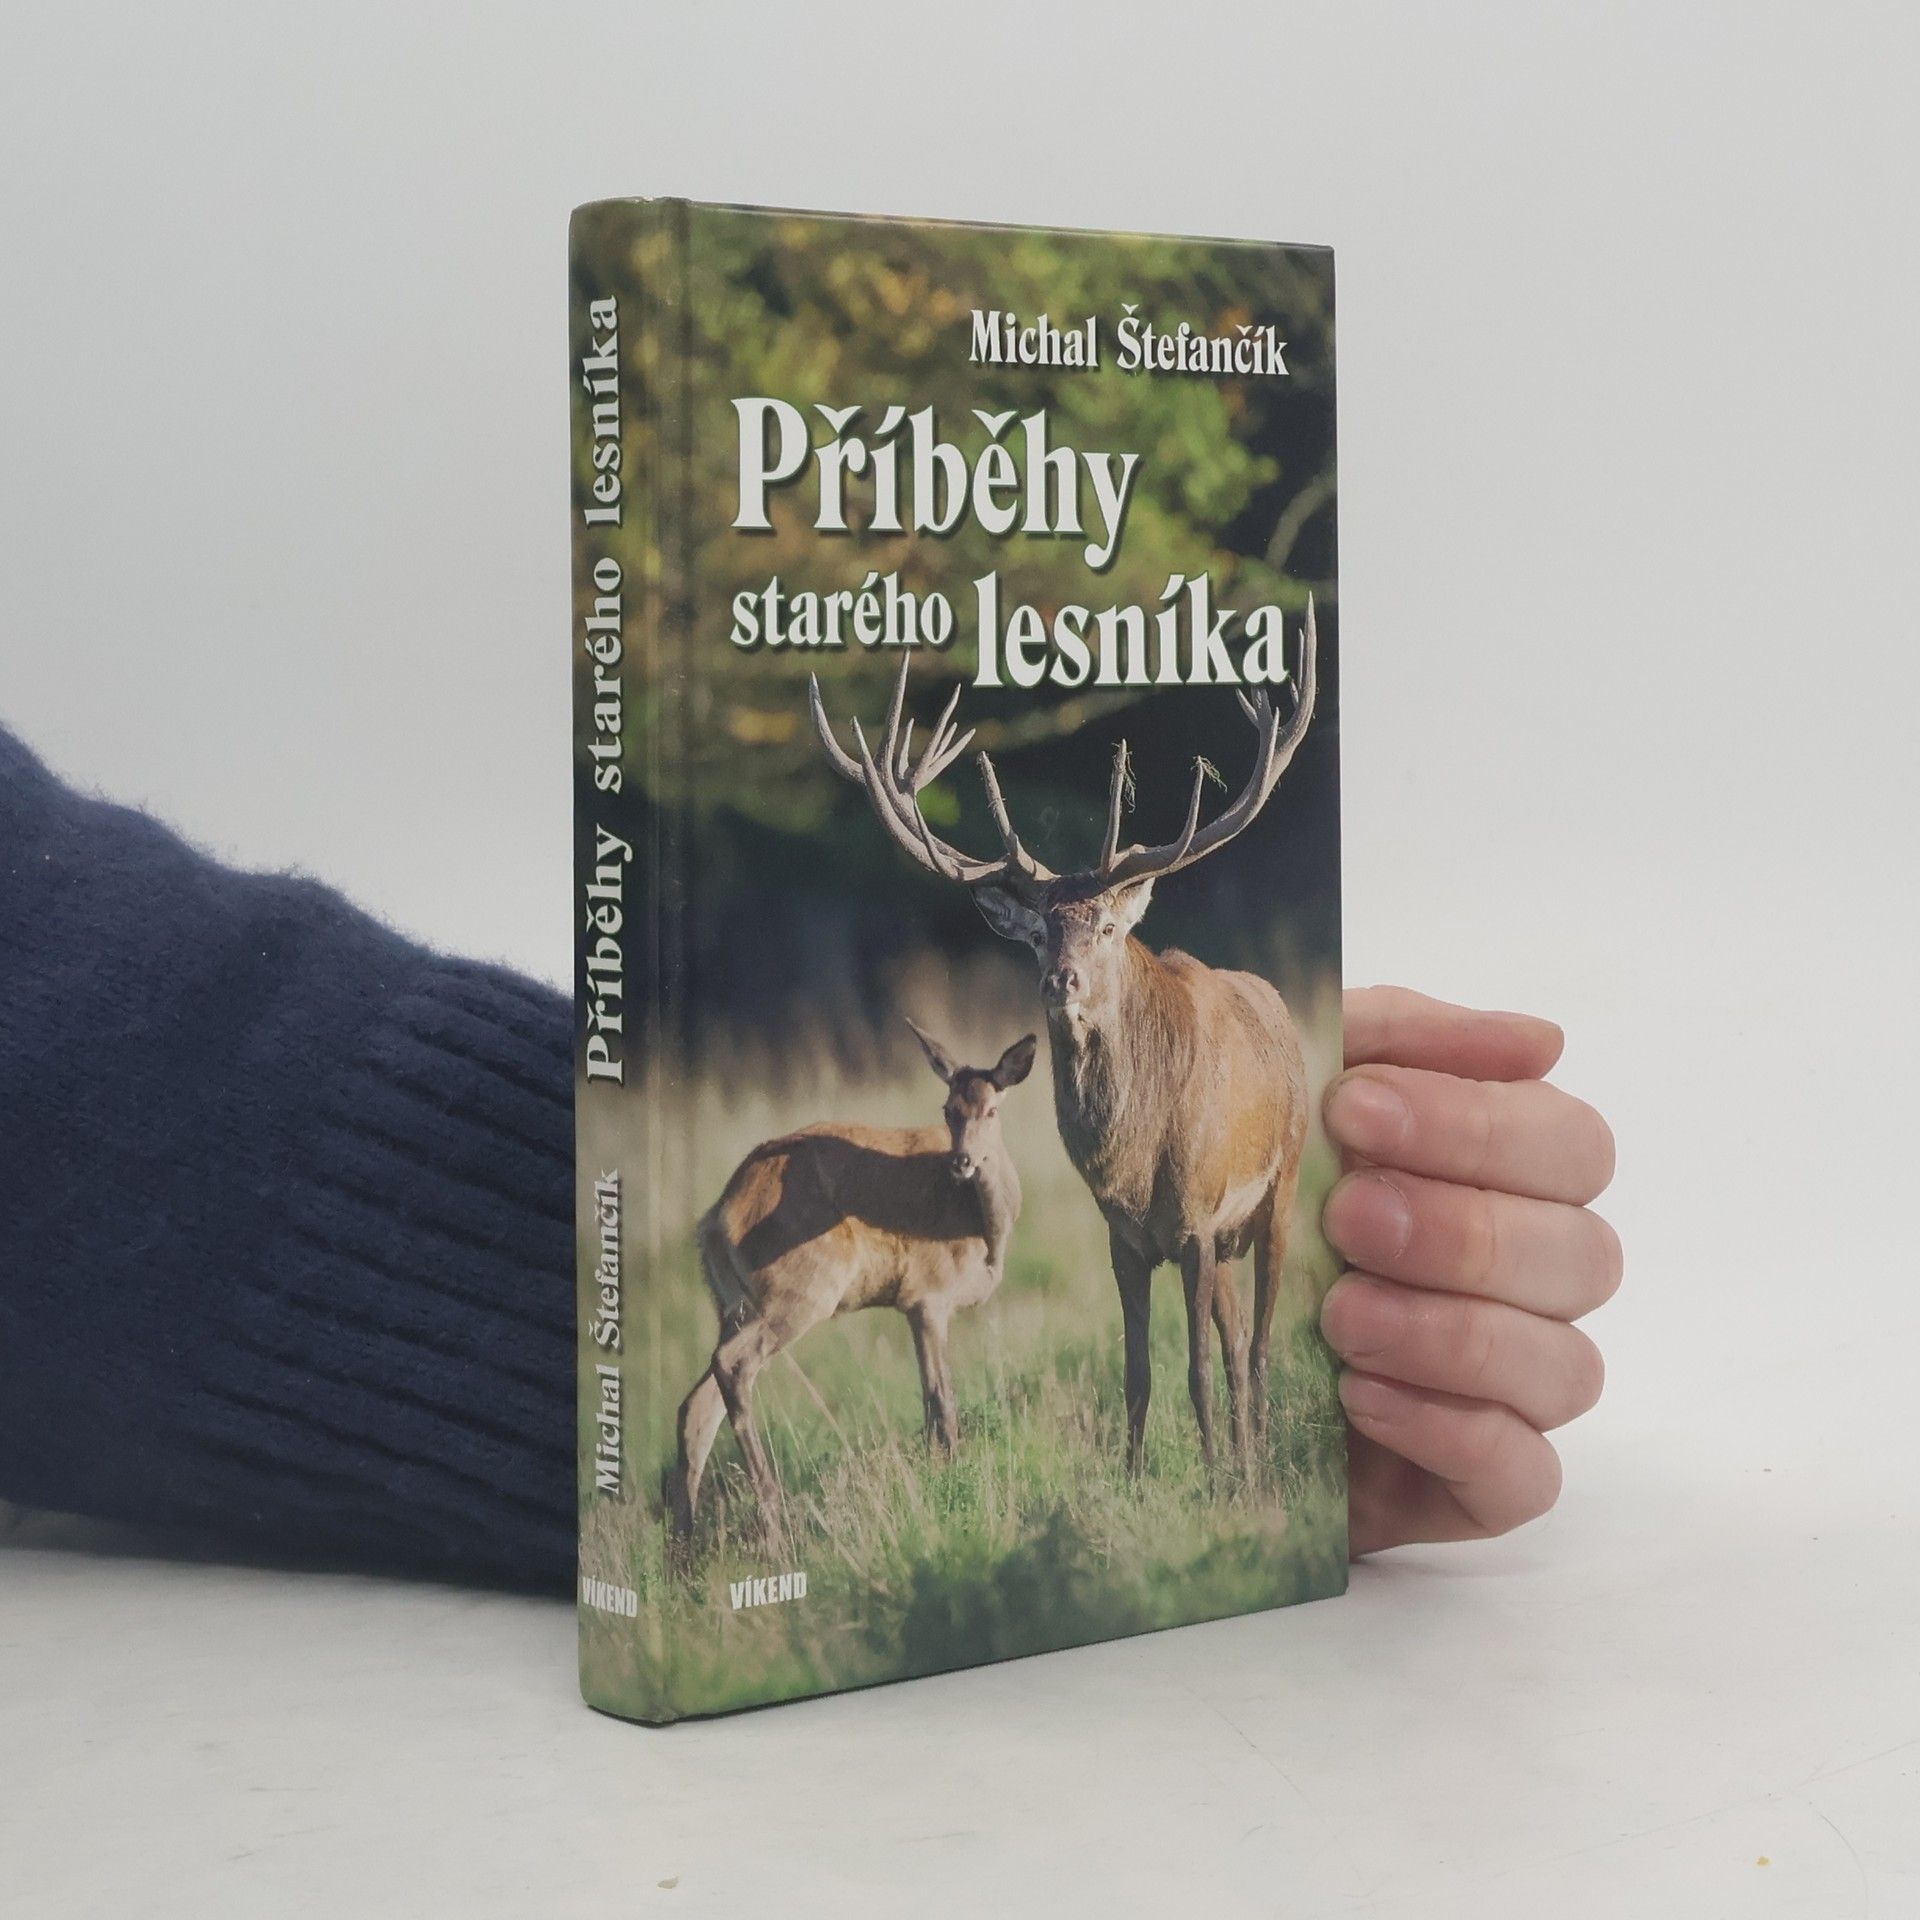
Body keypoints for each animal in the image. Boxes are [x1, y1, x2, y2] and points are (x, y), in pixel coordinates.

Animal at [666, 1020, 1037, 1538]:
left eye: (992, 1108)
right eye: (948, 1110)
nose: (961, 1161)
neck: (982, 1228)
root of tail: (716, 1221)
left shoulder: (911, 1306)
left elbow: (930, 1404)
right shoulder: (928, 1294)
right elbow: (943, 1402)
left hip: (732, 1304)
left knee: (695, 1406)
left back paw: (685, 1542)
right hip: (800, 1291)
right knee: (732, 1366)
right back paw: (773, 1516)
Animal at [808, 602, 1317, 1478]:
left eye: (1107, 927)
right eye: (1040, 935)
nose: (1062, 982)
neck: (1137, 1161)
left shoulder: (1196, 1219)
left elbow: (1195, 1367)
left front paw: (1210, 1480)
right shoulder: (1127, 1236)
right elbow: (1138, 1369)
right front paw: (1138, 1475)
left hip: (1280, 1184)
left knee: (1254, 1346)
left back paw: (1250, 1456)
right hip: (1226, 1234)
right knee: (1234, 1336)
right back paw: (1245, 1451)